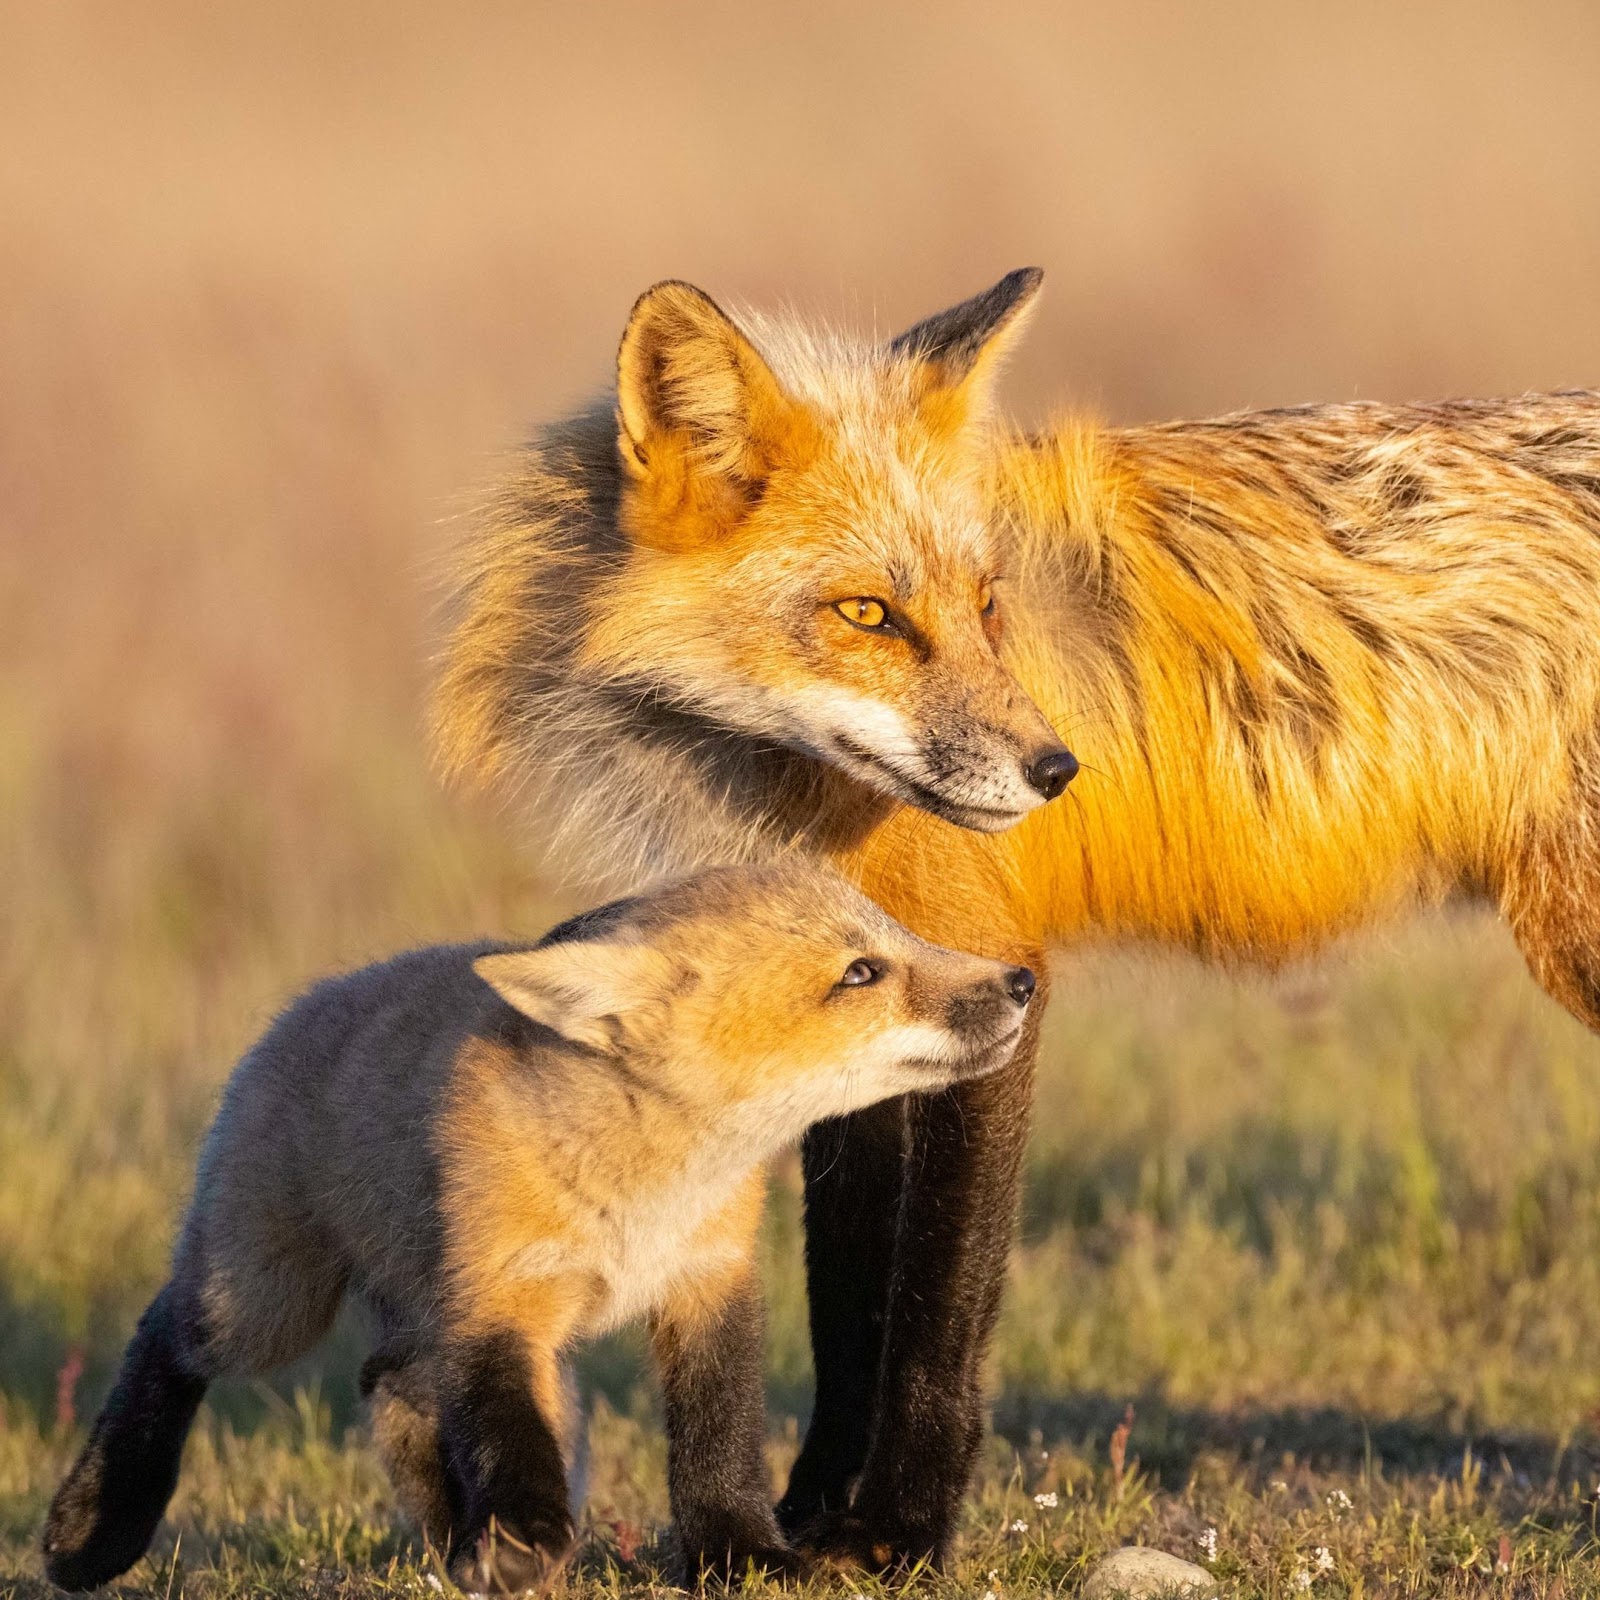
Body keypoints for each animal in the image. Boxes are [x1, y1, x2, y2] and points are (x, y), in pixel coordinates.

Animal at [39, 863, 1036, 1593]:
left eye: (899, 934)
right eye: (860, 973)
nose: (1022, 978)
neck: (646, 1197)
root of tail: (319, 997)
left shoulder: (708, 1285)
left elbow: (718, 1440)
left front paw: (739, 1555)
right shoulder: (499, 1299)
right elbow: (510, 1436)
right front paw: (521, 1535)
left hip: (439, 1326)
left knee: (387, 1380)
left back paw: (451, 1537)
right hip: (266, 1305)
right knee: (169, 1332)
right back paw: (96, 1524)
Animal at [431, 268, 1600, 1569]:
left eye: (986, 603)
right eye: (866, 613)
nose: (1057, 771)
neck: (778, 793)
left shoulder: (994, 980)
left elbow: (936, 1307)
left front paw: (899, 1529)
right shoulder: (847, 1002)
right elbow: (845, 1298)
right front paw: (811, 1512)